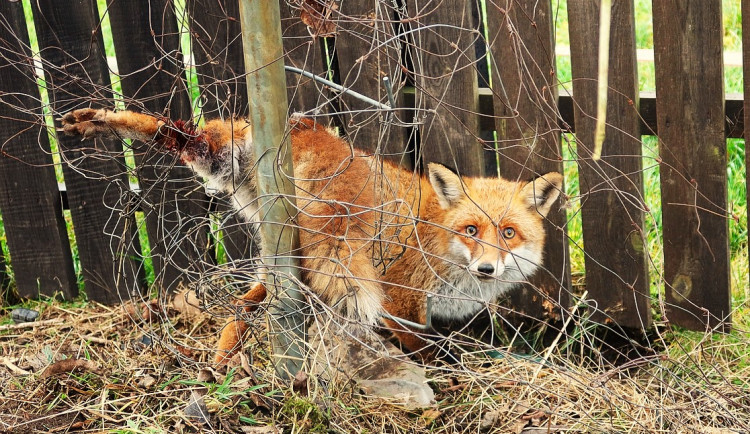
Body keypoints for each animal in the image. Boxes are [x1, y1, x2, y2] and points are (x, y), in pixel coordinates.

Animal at [60, 107, 564, 362]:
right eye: (472, 230)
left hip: (262, 222)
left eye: (509, 233)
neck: (438, 244)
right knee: (173, 131)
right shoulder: (401, 302)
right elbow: (422, 347)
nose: (487, 268)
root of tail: (310, 132)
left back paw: (223, 355)